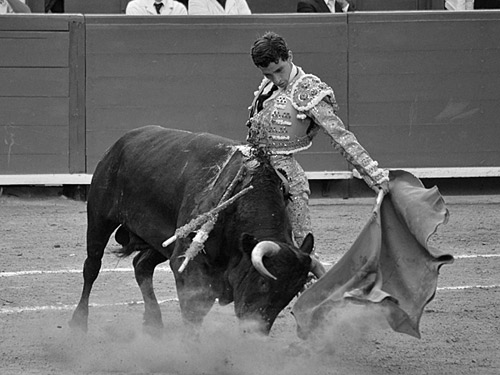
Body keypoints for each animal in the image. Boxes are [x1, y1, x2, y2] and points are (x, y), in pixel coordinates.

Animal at [68, 125, 322, 334]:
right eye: (263, 282)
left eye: (290, 294)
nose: (255, 331)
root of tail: (120, 143)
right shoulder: (189, 268)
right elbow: (194, 312)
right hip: (100, 217)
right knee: (92, 266)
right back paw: (78, 322)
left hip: (161, 239)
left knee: (141, 266)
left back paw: (153, 323)